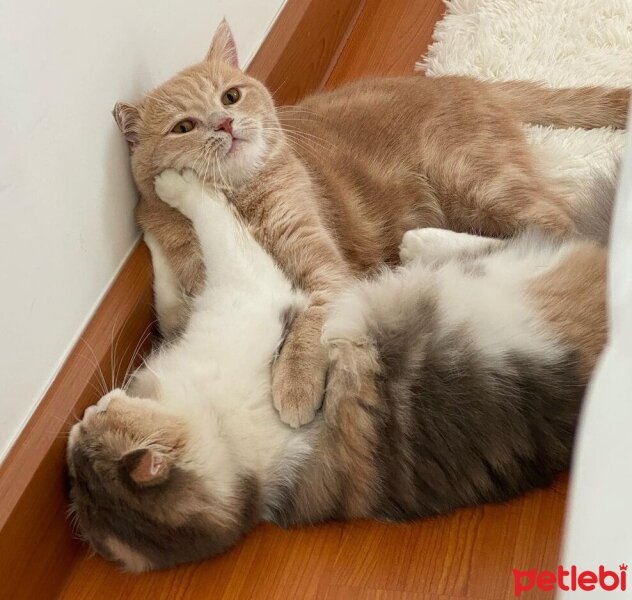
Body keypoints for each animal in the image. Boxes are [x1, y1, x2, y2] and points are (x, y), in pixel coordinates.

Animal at [66, 170, 604, 572]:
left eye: (96, 425)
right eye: (83, 443)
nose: (79, 420)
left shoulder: (229, 298)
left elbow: (174, 270)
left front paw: (156, 198)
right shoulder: (245, 291)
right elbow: (208, 220)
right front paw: (170, 186)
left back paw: (417, 241)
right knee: (541, 236)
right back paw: (420, 243)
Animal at [112, 21, 628, 428]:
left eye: (231, 96)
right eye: (183, 127)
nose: (224, 123)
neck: (241, 202)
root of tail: (470, 82)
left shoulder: (323, 270)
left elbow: (309, 323)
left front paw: (294, 383)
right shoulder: (202, 293)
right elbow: (169, 303)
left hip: (477, 182)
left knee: (559, 232)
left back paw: (426, 246)